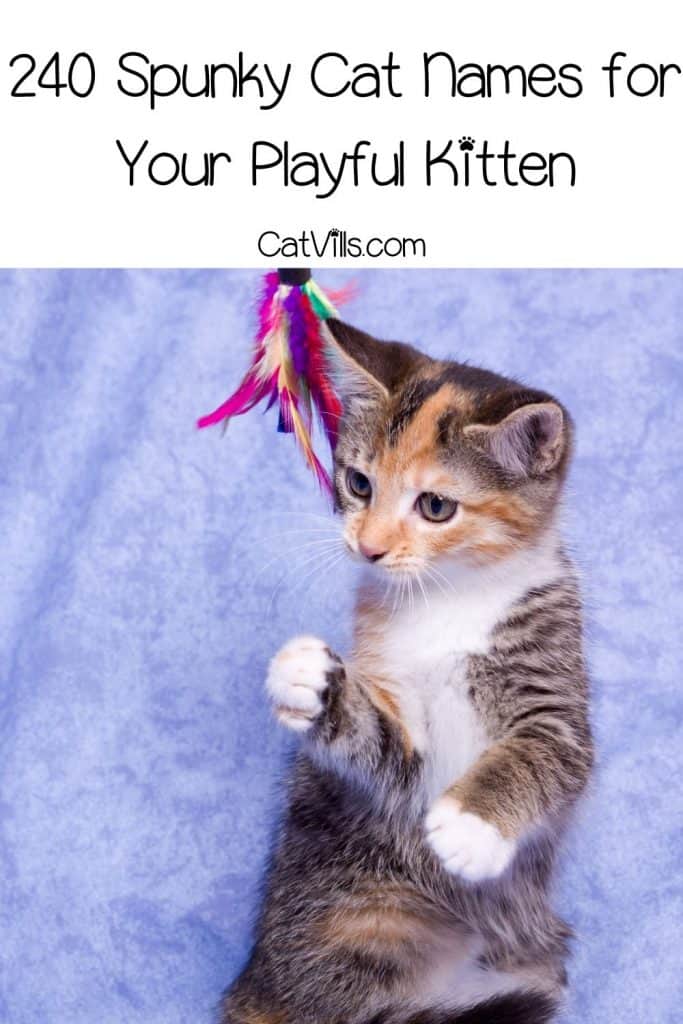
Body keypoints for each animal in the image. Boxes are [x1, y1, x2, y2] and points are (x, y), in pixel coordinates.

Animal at [220, 319, 593, 1024]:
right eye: (359, 484)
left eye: (436, 506)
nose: (368, 547)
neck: (447, 600)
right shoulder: (404, 733)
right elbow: (386, 747)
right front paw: (315, 685)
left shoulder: (555, 688)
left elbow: (541, 752)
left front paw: (470, 826)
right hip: (367, 912)